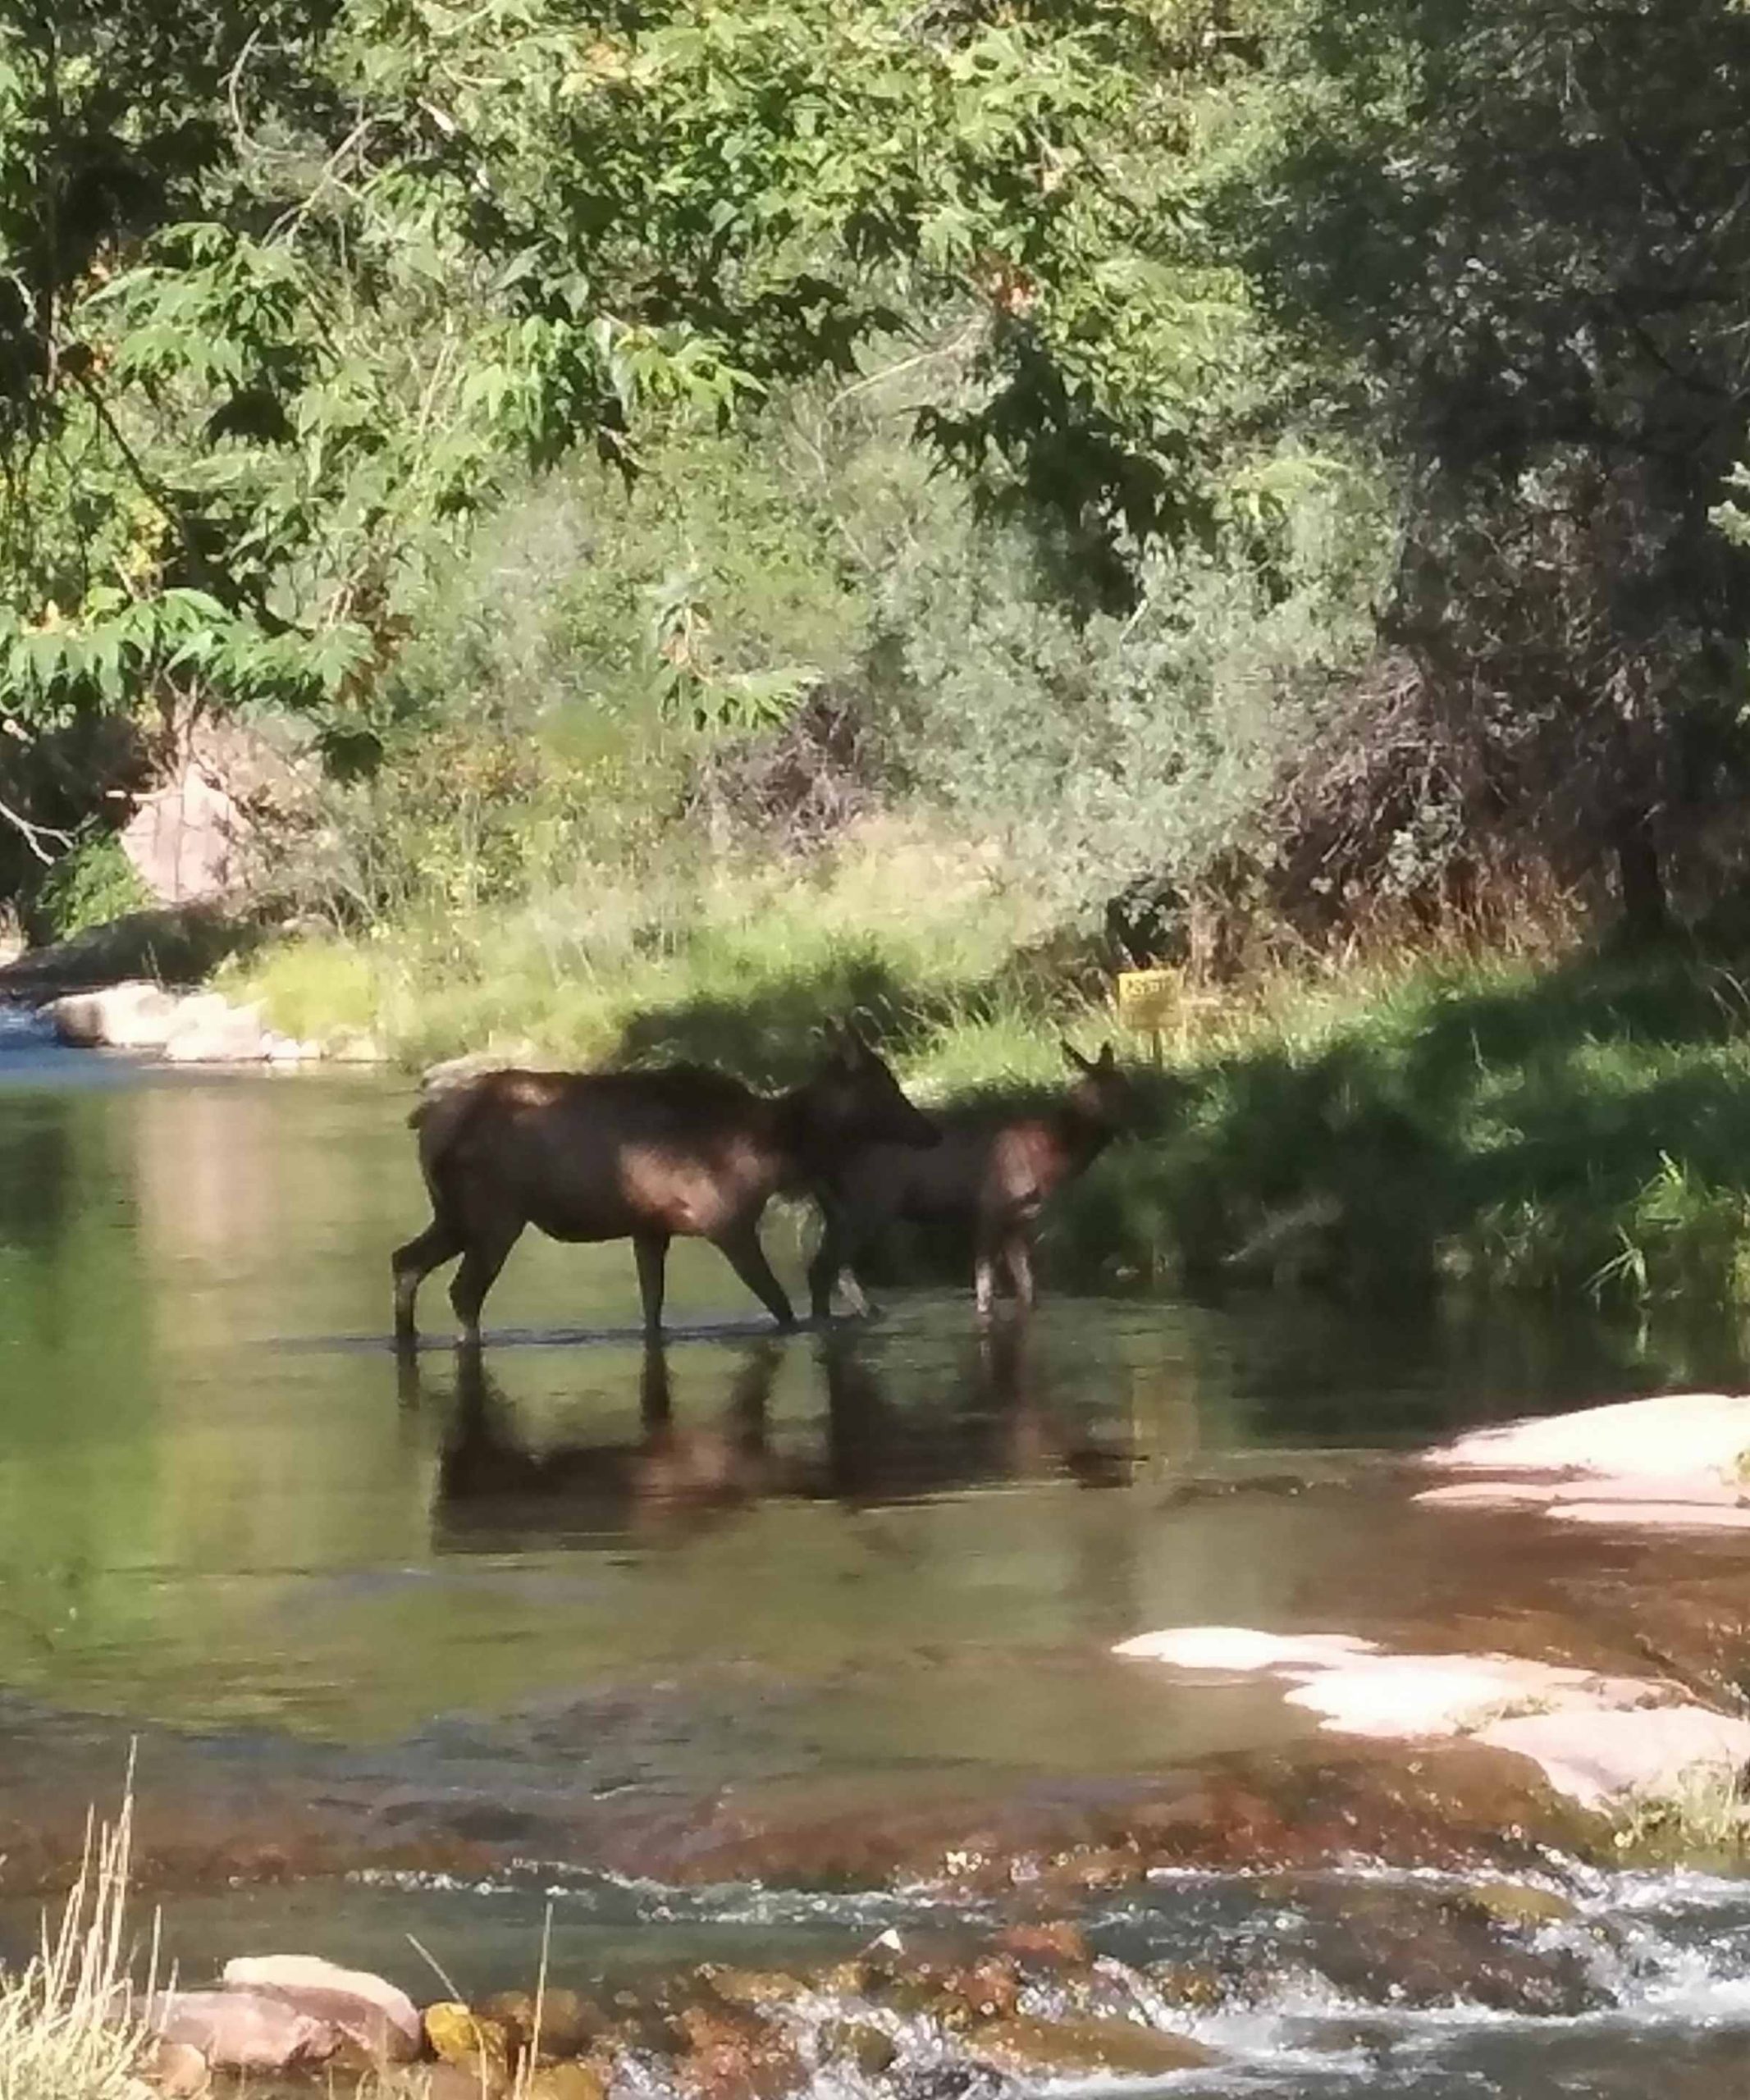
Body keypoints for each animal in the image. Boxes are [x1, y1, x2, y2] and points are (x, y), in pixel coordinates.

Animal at [392, 1020, 938, 1346]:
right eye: (885, 1084)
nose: (926, 1130)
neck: (775, 1149)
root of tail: (426, 1123)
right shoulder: (727, 1221)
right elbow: (779, 1305)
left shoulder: (650, 1227)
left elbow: (652, 1309)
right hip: (495, 1214)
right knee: (463, 1291)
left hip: (454, 1213)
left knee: (406, 1261)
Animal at [808, 1041, 1137, 1321]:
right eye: (1105, 1092)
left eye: (1125, 1085)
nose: (1137, 1119)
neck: (1050, 1155)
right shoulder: (989, 1210)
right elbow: (985, 1291)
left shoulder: (1019, 1220)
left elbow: (1028, 1290)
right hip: (867, 1204)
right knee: (823, 1268)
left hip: (841, 1210)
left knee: (838, 1269)